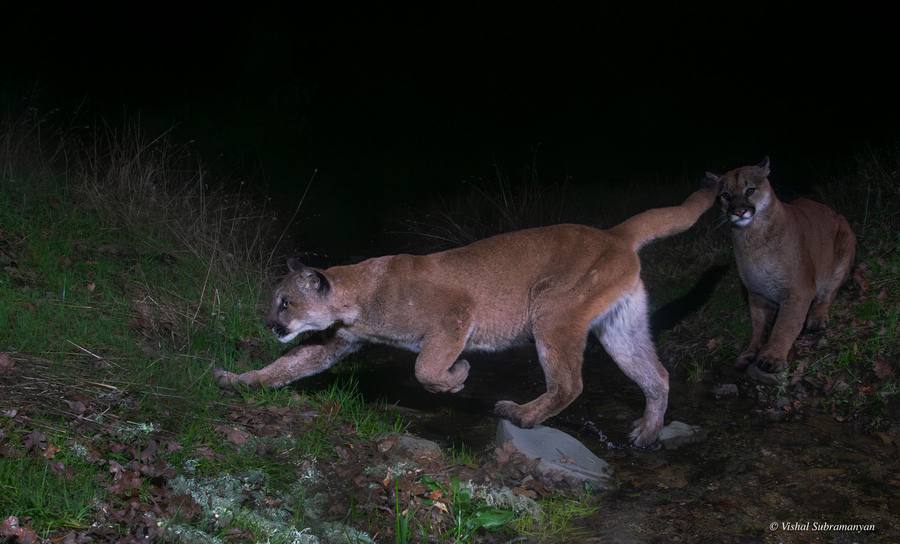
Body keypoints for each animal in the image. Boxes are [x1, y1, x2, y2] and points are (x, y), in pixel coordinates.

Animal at [214, 183, 717, 446]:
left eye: (284, 302)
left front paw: (458, 378)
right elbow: (287, 365)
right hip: (619, 326)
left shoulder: (455, 316)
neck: (356, 296)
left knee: (570, 383)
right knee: (656, 374)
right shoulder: (335, 341)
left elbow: (425, 367)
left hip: (551, 313)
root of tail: (614, 234)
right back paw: (647, 431)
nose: (270, 324)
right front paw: (238, 380)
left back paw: (522, 415)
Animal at [707, 157, 856, 375]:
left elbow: (784, 326)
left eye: (750, 190)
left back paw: (816, 319)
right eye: (725, 195)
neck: (752, 238)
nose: (738, 211)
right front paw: (750, 352)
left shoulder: (798, 291)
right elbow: (759, 327)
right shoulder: (756, 293)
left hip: (844, 245)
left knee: (828, 292)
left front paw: (771, 357)